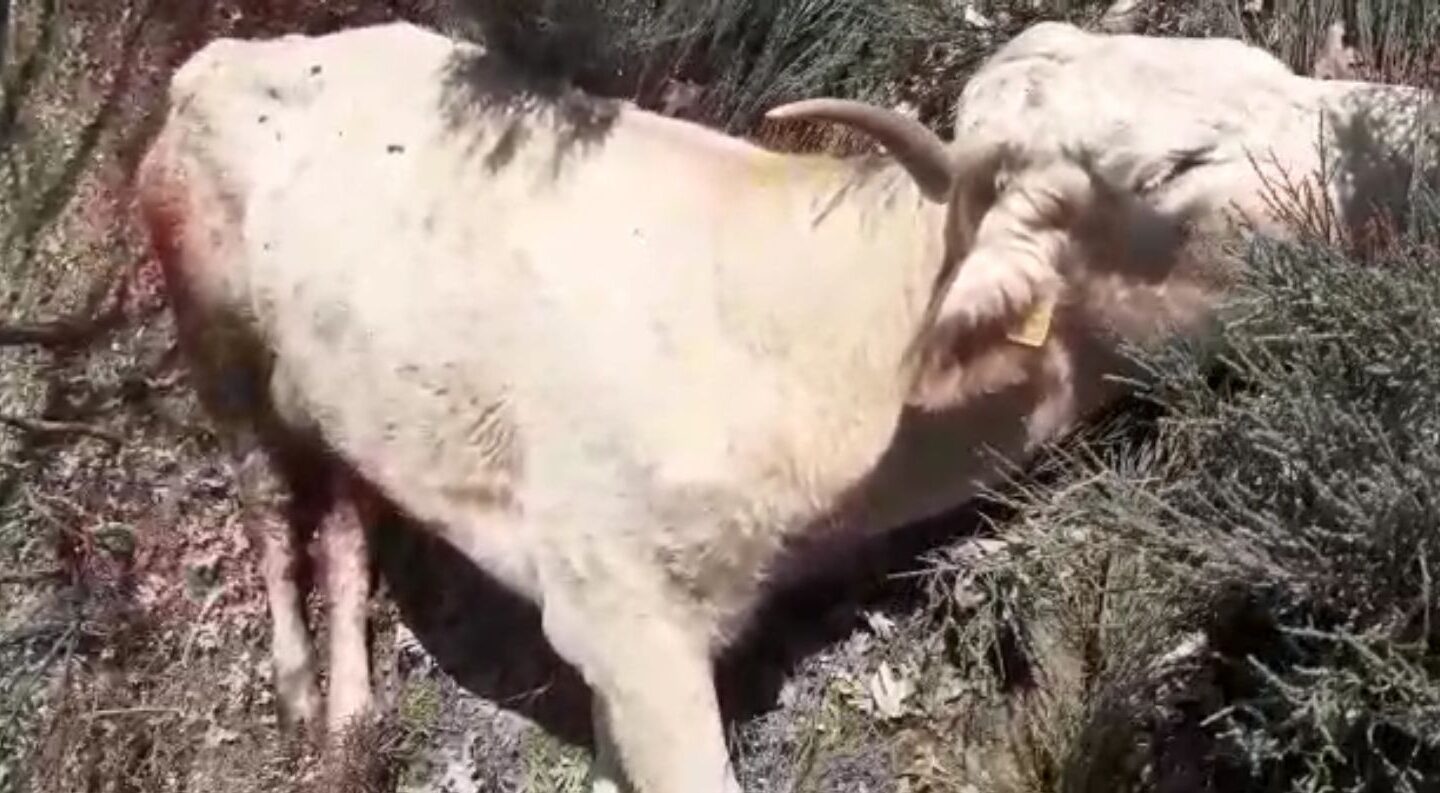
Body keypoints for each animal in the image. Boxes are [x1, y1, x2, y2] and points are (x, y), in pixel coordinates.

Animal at [137, 18, 1428, 793]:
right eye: (1171, 167)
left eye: (1265, 66)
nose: (1415, 136)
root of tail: (224, 53)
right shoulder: (620, 617)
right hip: (211, 330)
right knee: (267, 505)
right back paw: (301, 691)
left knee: (346, 503)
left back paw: (356, 713)